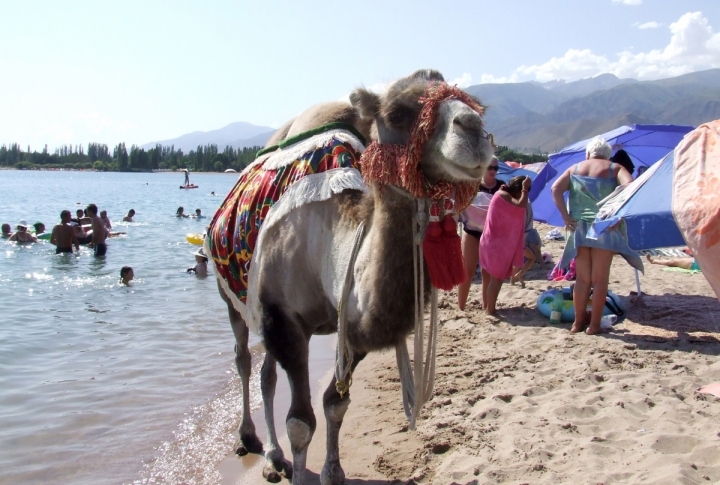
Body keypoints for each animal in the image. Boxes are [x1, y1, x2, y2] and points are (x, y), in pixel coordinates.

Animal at [205, 69, 492, 484]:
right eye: (397, 113)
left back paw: (274, 455)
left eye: (474, 104)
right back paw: (252, 440)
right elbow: (300, 422)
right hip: (234, 295)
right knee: (243, 359)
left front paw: (333, 470)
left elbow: (334, 403)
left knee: (266, 373)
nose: (473, 129)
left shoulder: (348, 329)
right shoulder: (283, 319)